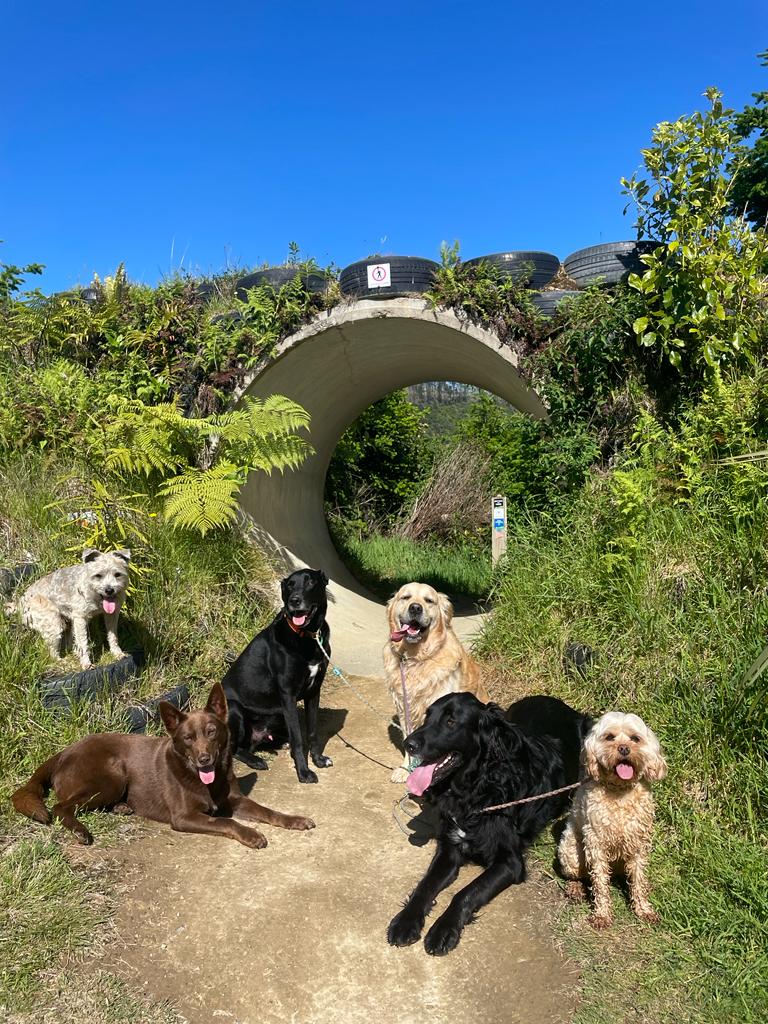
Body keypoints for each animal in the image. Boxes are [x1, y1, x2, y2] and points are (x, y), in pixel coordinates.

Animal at [12, 684, 313, 843]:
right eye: (188, 738)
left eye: (212, 732)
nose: (204, 760)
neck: (206, 780)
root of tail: (63, 752)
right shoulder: (184, 817)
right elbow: (227, 822)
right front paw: (251, 834)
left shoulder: (236, 800)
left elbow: (268, 811)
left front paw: (295, 820)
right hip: (112, 775)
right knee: (61, 807)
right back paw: (81, 831)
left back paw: (122, 807)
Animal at [221, 569, 331, 782]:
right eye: (289, 585)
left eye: (311, 582)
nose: (294, 601)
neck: (307, 636)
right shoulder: (288, 696)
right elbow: (298, 739)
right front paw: (304, 772)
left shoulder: (314, 691)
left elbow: (312, 732)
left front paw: (318, 760)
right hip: (234, 707)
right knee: (233, 749)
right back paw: (256, 760)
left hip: (279, 713)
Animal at [387, 692, 593, 954]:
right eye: (427, 716)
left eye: (451, 722)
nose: (408, 744)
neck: (477, 788)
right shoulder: (450, 848)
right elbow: (425, 885)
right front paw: (406, 921)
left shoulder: (510, 863)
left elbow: (465, 893)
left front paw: (443, 930)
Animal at [561, 712, 667, 929]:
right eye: (609, 737)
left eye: (635, 738)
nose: (624, 749)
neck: (620, 791)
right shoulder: (596, 843)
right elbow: (600, 882)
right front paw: (602, 915)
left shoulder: (639, 843)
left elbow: (638, 878)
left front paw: (643, 909)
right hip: (571, 850)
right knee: (576, 875)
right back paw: (575, 889)